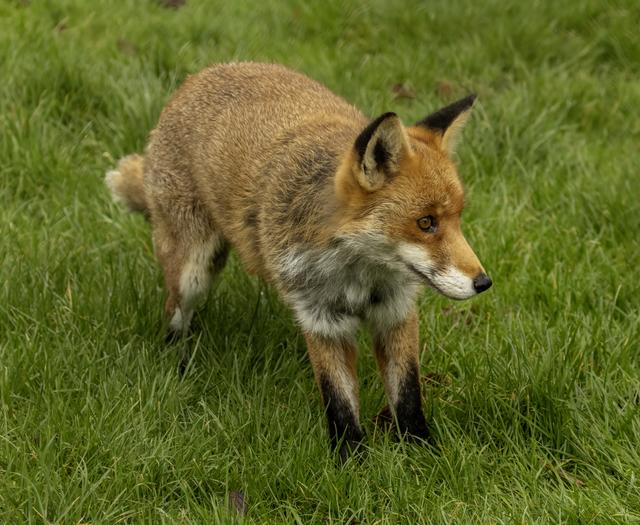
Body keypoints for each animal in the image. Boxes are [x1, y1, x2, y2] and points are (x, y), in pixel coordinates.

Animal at [107, 63, 492, 460]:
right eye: (426, 223)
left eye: (457, 218)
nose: (483, 282)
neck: (359, 276)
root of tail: (202, 74)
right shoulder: (320, 318)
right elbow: (339, 401)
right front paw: (351, 461)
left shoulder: (396, 312)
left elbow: (408, 395)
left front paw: (422, 453)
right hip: (192, 272)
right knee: (174, 313)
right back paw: (179, 363)